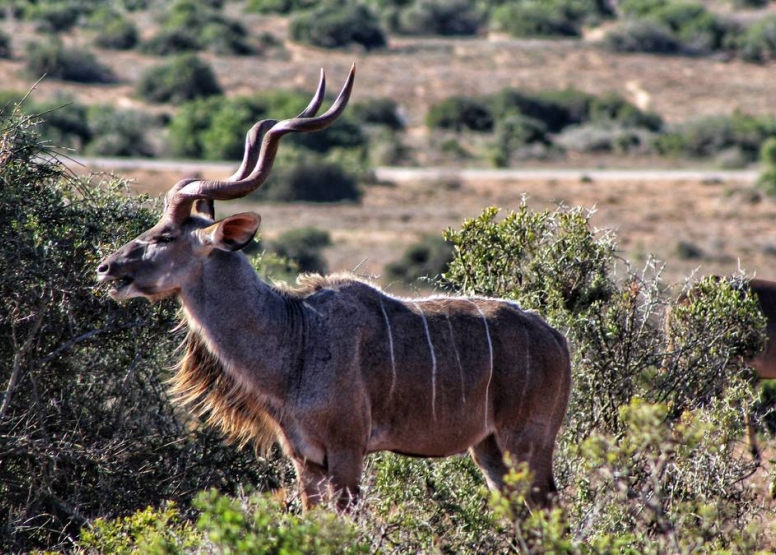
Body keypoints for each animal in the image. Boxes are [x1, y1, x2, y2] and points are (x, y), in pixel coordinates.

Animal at [95, 67, 568, 510]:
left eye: (165, 236)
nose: (106, 268)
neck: (296, 337)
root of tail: (556, 338)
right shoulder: (304, 459)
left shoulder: (346, 450)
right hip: (488, 448)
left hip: (525, 441)